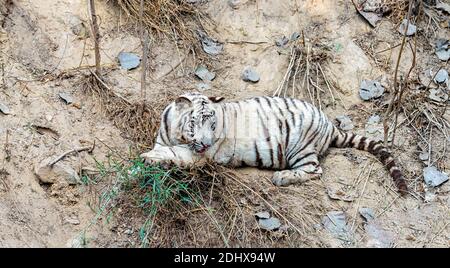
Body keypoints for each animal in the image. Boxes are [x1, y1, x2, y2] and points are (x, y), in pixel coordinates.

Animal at [142, 92, 408, 195]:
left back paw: (282, 177)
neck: (176, 131)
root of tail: (329, 124)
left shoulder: (197, 155)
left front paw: (147, 159)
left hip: (300, 146)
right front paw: (150, 159)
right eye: (195, 123)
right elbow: (163, 149)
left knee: (314, 170)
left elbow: (175, 153)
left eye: (213, 126)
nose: (207, 143)